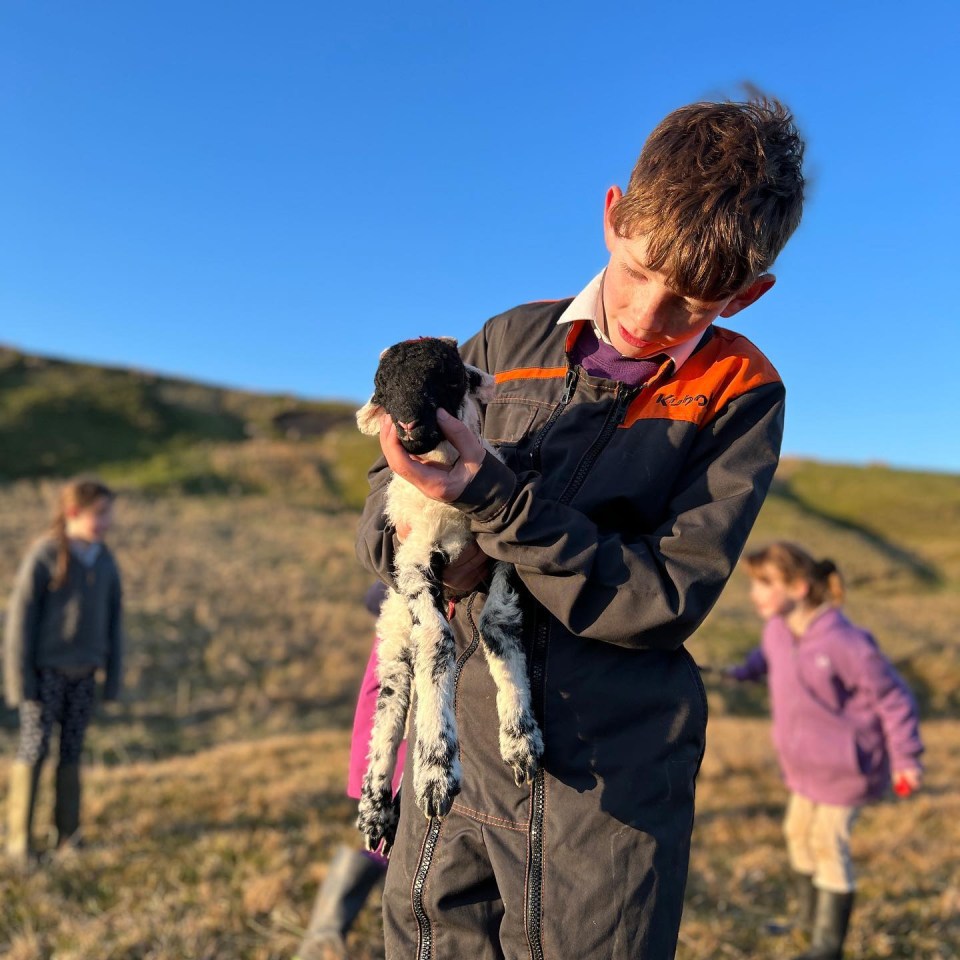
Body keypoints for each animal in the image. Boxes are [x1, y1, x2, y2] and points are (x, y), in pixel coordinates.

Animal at [354, 340, 548, 856]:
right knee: (391, 708)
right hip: (394, 634)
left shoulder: (499, 558)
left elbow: (499, 624)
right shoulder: (416, 561)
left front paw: (521, 741)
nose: (408, 426)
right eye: (383, 388)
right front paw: (437, 773)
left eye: (448, 377)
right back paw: (376, 810)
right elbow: (438, 643)